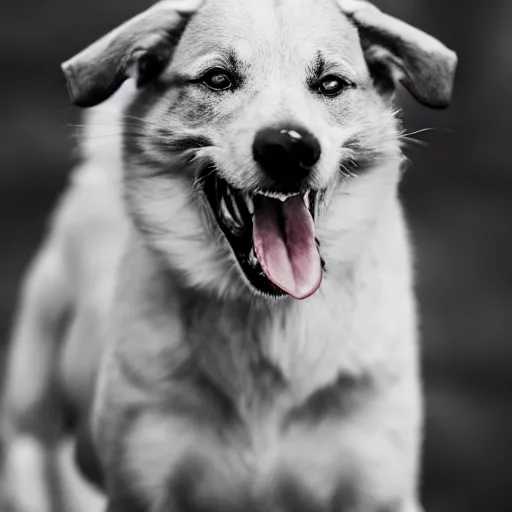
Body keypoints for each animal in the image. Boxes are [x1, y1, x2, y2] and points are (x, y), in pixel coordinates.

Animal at [0, 1, 456, 512]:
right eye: (218, 79)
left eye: (331, 84)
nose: (289, 146)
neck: (268, 322)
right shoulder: (141, 483)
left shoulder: (378, 486)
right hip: (30, 446)